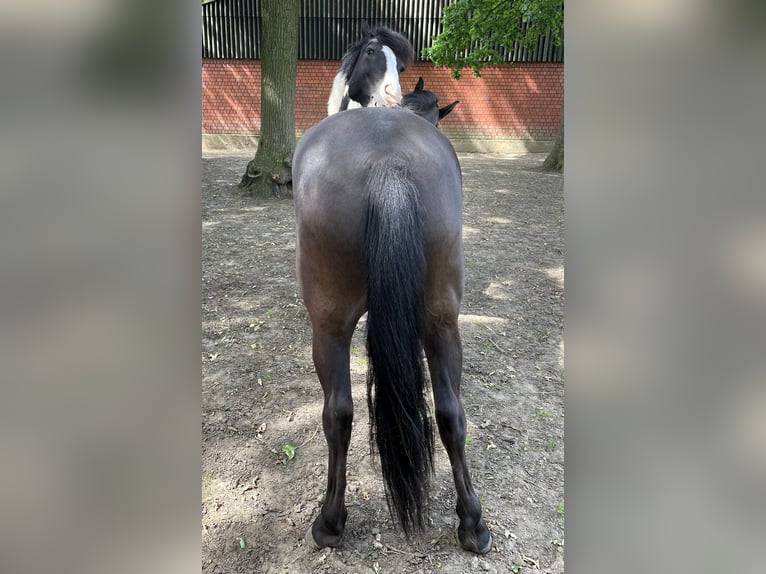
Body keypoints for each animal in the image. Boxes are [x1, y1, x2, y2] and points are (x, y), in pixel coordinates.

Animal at [293, 106, 492, 555]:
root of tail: (387, 160)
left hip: (328, 326)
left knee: (338, 413)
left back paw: (330, 522)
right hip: (441, 322)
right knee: (451, 412)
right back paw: (473, 522)